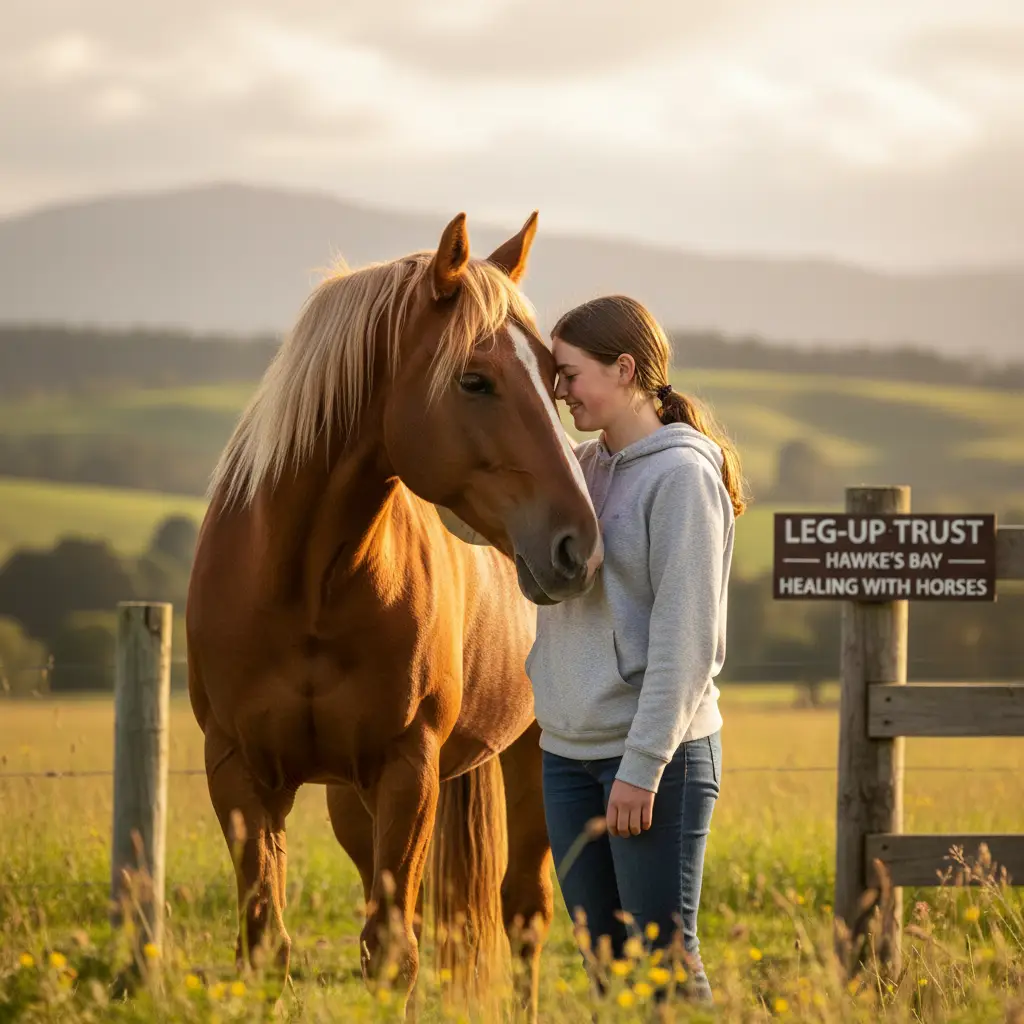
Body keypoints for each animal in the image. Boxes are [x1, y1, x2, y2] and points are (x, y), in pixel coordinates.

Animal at [185, 210, 603, 1018]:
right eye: (474, 379)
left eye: (556, 379)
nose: (579, 543)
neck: (307, 584)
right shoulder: (238, 773)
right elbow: (266, 946)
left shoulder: (407, 769)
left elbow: (392, 954)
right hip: (351, 801)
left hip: (532, 756)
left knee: (524, 912)